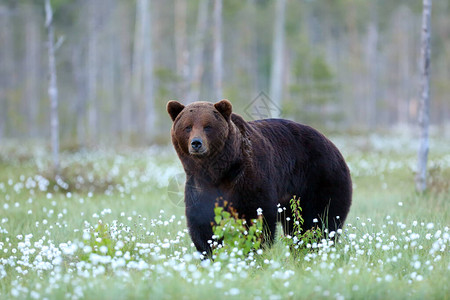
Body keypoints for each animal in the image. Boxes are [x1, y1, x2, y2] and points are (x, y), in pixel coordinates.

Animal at [166, 99, 352, 254]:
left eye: (207, 126)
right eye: (188, 126)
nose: (196, 143)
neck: (219, 171)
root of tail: (332, 144)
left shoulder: (249, 177)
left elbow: (256, 218)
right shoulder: (199, 184)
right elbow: (202, 221)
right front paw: (210, 252)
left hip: (318, 179)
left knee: (319, 219)